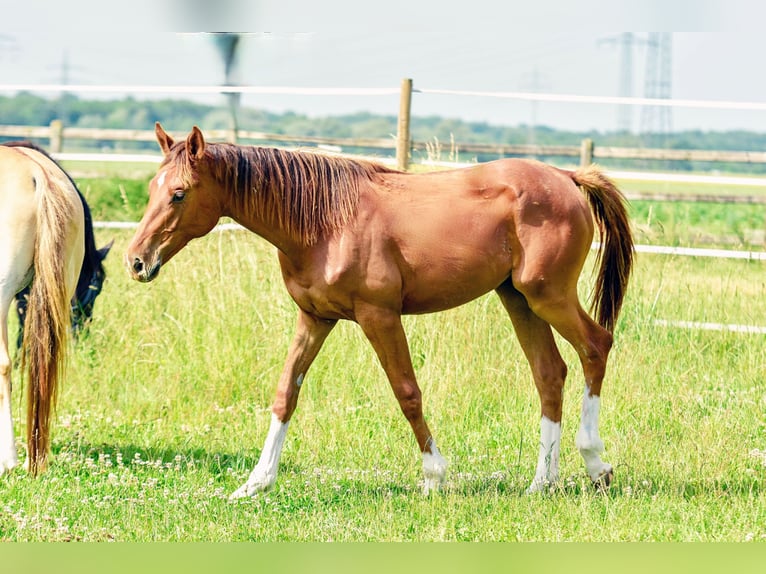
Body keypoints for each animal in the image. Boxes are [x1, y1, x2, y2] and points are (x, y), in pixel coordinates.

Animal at [126, 123, 634, 497]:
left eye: (178, 193)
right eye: (152, 188)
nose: (136, 261)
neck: (324, 221)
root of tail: (567, 177)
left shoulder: (379, 317)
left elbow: (407, 392)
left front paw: (433, 476)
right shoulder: (314, 318)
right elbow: (286, 393)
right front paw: (256, 483)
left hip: (549, 296)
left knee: (596, 346)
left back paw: (596, 465)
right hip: (519, 299)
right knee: (549, 373)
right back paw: (541, 483)